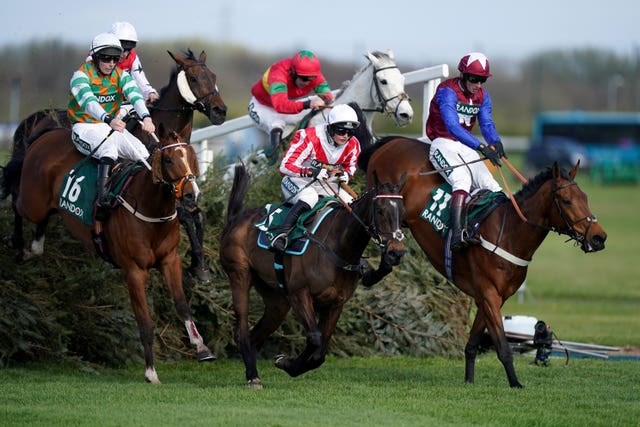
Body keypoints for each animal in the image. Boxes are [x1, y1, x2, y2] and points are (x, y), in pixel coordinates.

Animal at [2, 125, 216, 382]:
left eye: (192, 156)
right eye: (168, 159)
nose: (192, 195)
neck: (150, 208)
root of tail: (47, 134)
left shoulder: (170, 260)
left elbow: (182, 305)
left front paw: (201, 347)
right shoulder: (134, 271)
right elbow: (145, 323)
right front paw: (151, 372)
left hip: (46, 207)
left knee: (38, 232)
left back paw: (29, 250)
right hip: (33, 203)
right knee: (15, 199)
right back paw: (15, 240)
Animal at [8, 49, 228, 280]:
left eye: (213, 77)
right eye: (193, 78)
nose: (220, 111)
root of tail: (37, 119)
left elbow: (199, 214)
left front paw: (200, 264)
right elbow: (186, 215)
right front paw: (198, 265)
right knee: (16, 192)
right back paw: (17, 240)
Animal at [220, 163, 408, 388]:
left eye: (403, 212)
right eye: (380, 210)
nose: (396, 252)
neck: (338, 245)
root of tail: (236, 219)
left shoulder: (335, 303)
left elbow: (320, 352)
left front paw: (286, 363)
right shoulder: (299, 294)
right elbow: (315, 338)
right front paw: (287, 363)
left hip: (276, 299)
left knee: (256, 335)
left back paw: (252, 369)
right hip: (239, 274)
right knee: (241, 330)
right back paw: (252, 376)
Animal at [360, 136, 604, 388]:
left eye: (585, 197)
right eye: (566, 200)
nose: (599, 237)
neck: (508, 233)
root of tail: (394, 141)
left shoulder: (491, 297)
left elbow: (473, 343)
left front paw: (469, 380)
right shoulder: (489, 294)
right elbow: (503, 346)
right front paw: (515, 383)